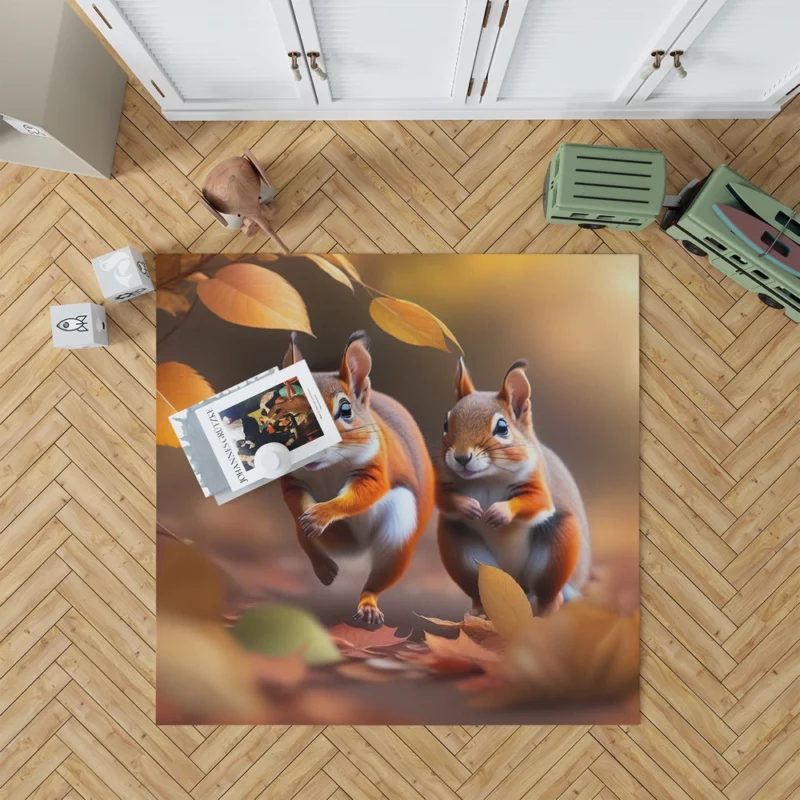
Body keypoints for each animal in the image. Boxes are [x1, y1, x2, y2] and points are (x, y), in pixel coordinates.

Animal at [280, 330, 434, 624]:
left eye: (345, 410)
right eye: (286, 414)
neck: (326, 469)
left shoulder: (374, 469)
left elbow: (361, 494)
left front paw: (320, 515)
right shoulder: (292, 480)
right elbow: (296, 500)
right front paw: (311, 518)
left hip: (398, 535)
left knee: (378, 579)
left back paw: (368, 605)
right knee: (307, 543)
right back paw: (325, 567)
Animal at [438, 360, 588, 616]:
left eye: (502, 427)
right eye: (446, 424)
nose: (461, 457)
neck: (487, 478)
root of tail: (517, 585)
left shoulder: (538, 482)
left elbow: (536, 502)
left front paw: (500, 512)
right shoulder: (443, 483)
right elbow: (442, 498)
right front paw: (467, 506)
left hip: (558, 549)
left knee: (550, 597)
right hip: (462, 554)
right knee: (480, 591)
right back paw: (478, 614)